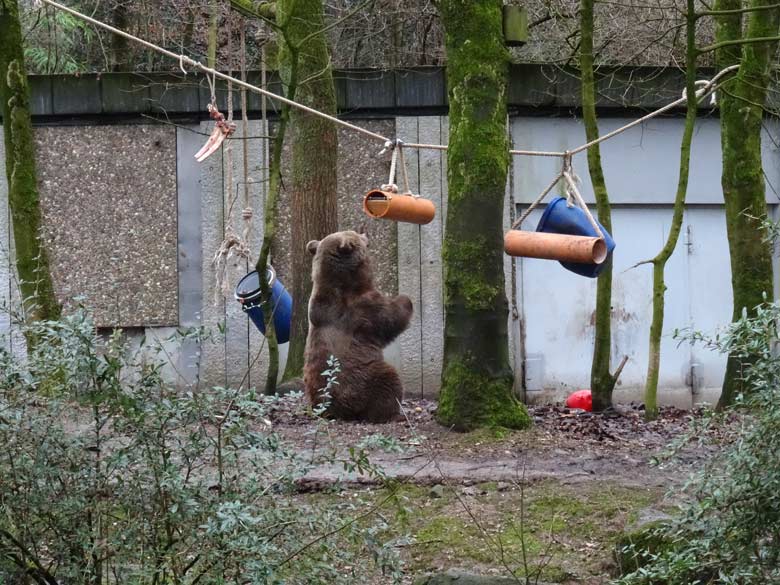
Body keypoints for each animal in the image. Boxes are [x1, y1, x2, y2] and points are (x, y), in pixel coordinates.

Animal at [304, 230, 414, 422]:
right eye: (362, 240)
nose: (365, 235)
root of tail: (340, 409)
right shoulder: (363, 311)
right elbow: (390, 318)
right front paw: (406, 299)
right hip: (364, 378)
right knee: (388, 381)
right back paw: (393, 413)